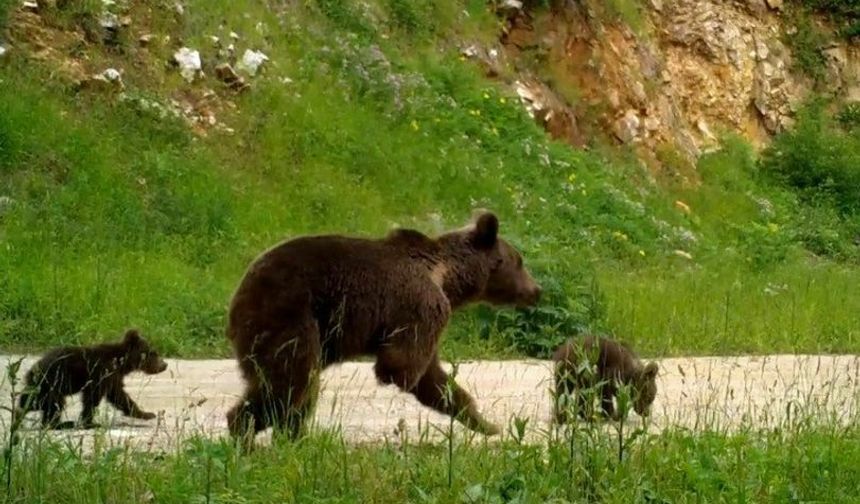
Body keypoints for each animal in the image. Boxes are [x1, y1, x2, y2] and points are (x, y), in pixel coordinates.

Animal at [225, 212, 540, 440]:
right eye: (519, 261)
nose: (537, 290)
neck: (447, 277)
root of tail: (238, 294)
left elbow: (434, 378)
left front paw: (486, 424)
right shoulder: (422, 307)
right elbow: (402, 367)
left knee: (296, 389)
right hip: (289, 314)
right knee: (290, 382)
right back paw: (248, 430)